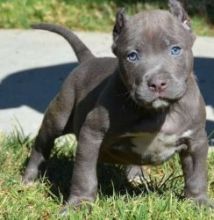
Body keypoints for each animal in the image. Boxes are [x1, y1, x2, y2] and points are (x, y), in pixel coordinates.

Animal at [23, 0, 212, 211]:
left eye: (175, 50)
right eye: (132, 56)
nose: (157, 83)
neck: (158, 112)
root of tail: (89, 60)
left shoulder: (196, 140)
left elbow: (197, 175)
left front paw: (198, 202)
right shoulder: (91, 134)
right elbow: (84, 174)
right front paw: (79, 204)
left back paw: (136, 176)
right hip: (59, 115)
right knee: (42, 144)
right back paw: (29, 178)